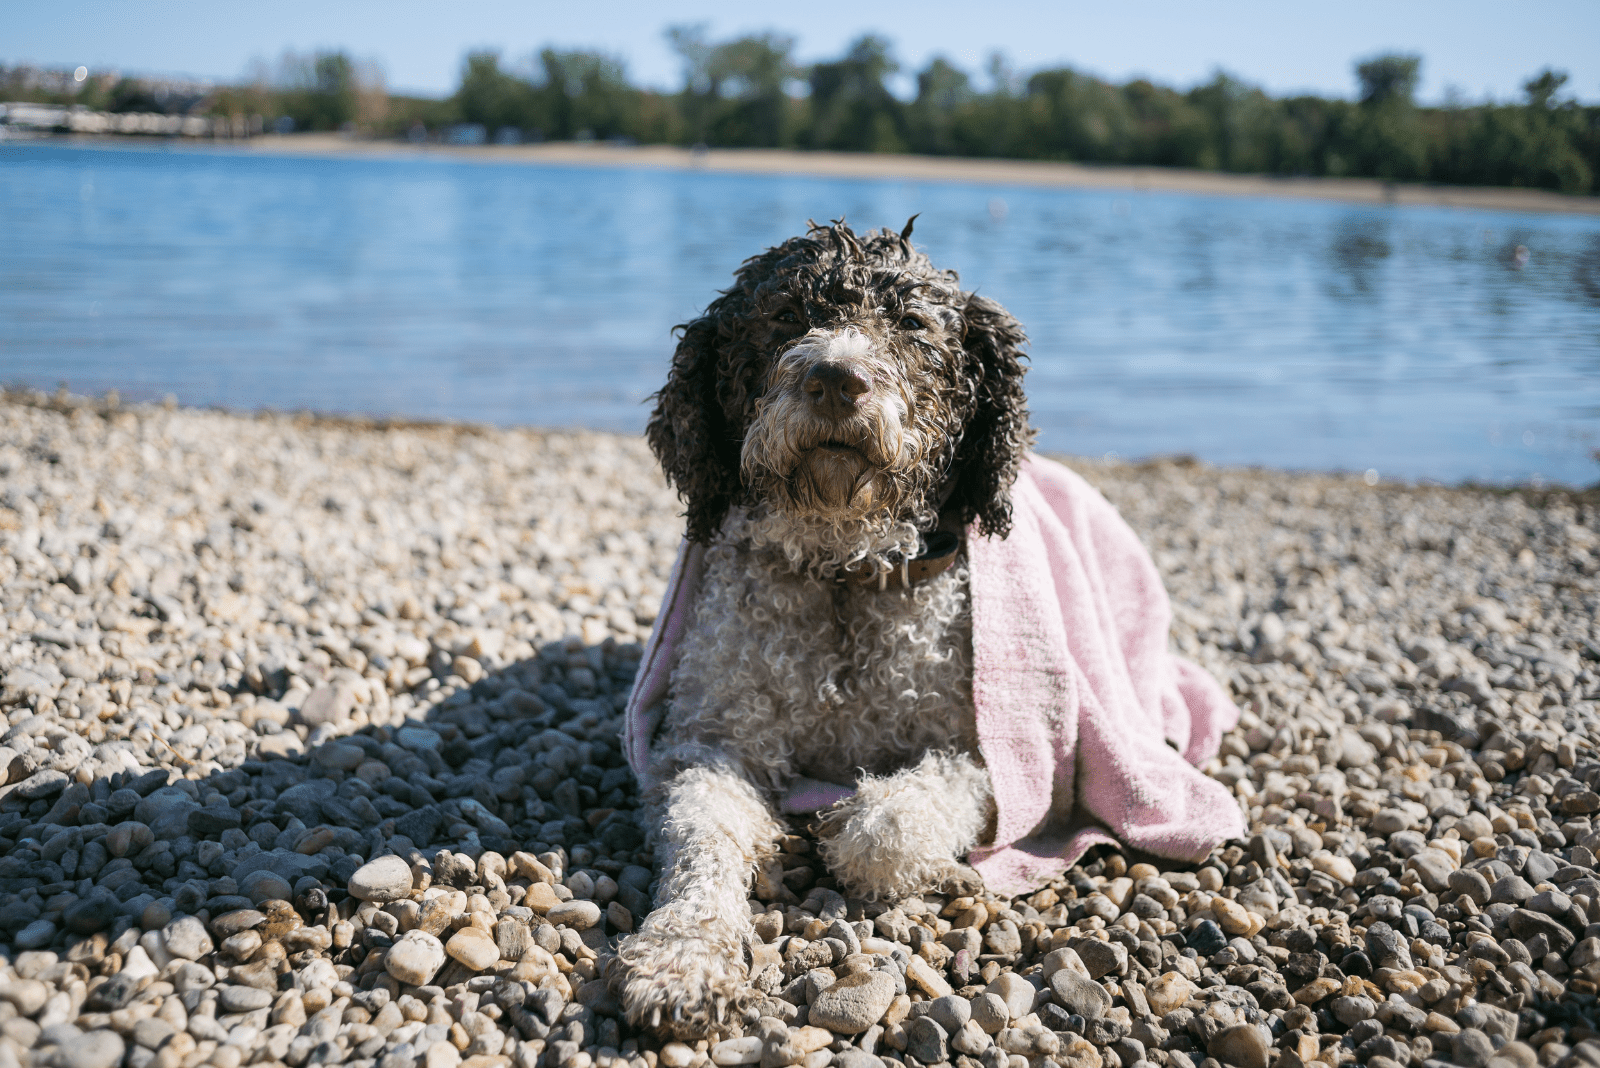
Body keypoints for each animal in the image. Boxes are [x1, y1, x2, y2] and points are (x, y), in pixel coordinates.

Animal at [604, 220, 1030, 1036]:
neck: (841, 573)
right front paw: (682, 956)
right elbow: (704, 836)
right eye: (783, 316)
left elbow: (889, 828)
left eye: (912, 325)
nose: (836, 378)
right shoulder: (712, 739)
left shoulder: (980, 753)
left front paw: (853, 832)